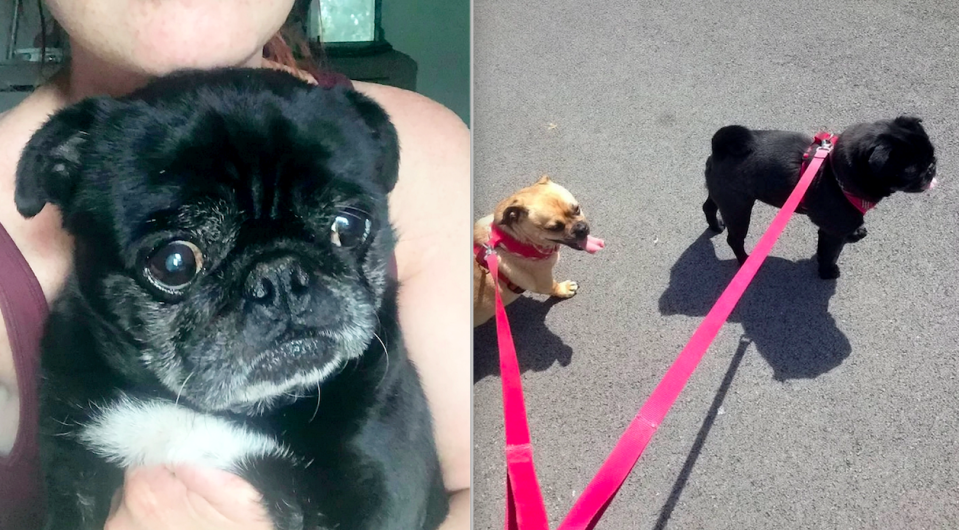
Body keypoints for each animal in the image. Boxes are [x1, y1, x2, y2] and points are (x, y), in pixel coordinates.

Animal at [704, 117, 936, 278]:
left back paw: (715, 225)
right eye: (913, 171)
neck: (836, 171)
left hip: (722, 196)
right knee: (735, 239)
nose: (932, 167)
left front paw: (855, 233)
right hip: (738, 208)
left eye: (932, 156)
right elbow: (829, 253)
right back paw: (745, 261)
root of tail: (719, 149)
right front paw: (828, 272)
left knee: (708, 207)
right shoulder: (832, 232)